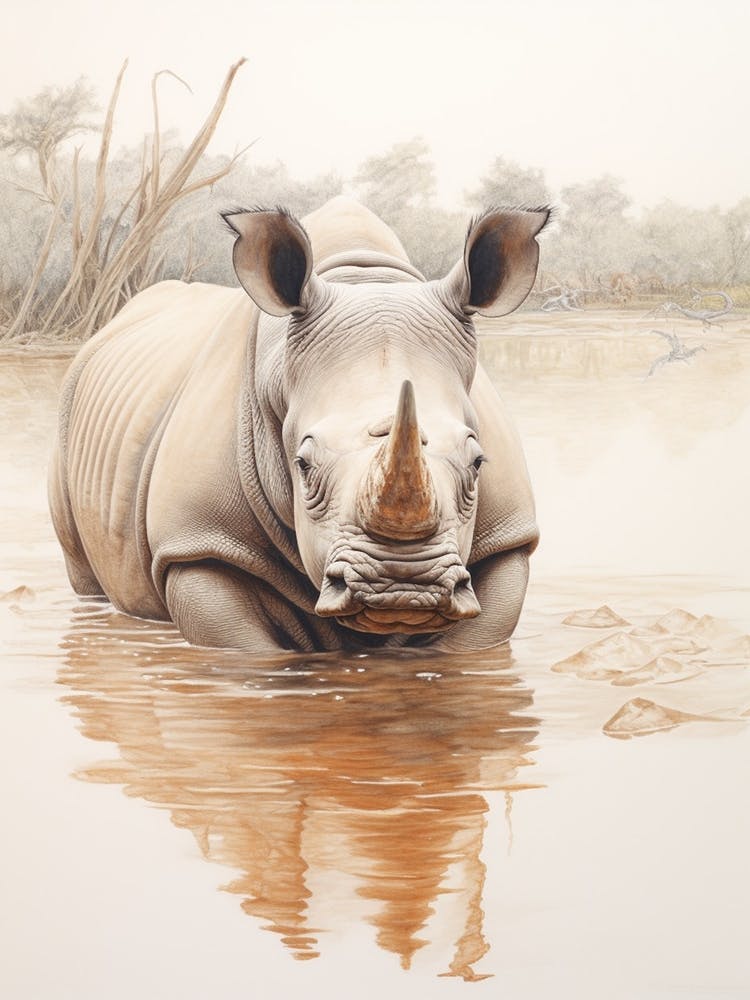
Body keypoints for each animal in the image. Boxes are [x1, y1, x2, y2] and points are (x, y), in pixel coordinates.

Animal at [49, 196, 548, 653]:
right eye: (303, 464)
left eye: (479, 462)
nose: (404, 584)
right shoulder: (199, 544)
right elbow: (247, 651)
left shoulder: (506, 540)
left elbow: (470, 647)